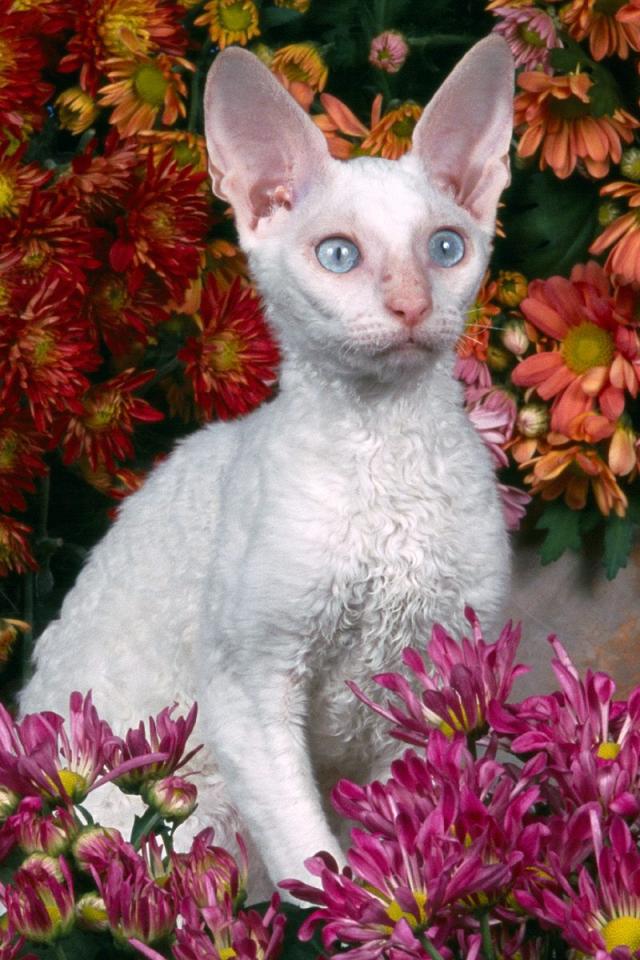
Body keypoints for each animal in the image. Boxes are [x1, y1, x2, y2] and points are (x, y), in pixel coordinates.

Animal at [19, 35, 514, 901]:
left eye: (446, 248)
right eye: (339, 256)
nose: (412, 304)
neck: (383, 454)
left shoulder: (437, 685)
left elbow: (415, 837)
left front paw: (422, 902)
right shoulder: (250, 687)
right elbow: (309, 857)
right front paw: (353, 908)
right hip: (194, 793)